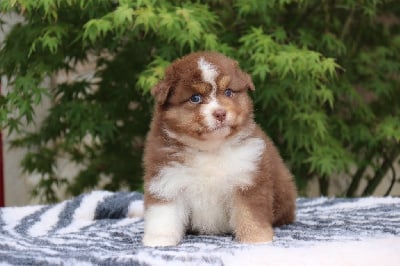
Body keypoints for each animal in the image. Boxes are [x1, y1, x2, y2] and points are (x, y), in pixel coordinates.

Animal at [142, 51, 296, 246]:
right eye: (195, 98)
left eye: (228, 92)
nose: (220, 113)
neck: (210, 148)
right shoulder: (167, 178)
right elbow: (163, 213)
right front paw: (159, 239)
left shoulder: (247, 178)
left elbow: (250, 213)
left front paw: (256, 238)